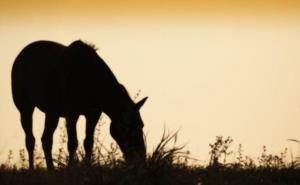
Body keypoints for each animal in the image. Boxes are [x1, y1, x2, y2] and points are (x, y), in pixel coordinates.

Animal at [11, 40, 148, 169]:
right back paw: (32, 169)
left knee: (46, 139)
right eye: (127, 128)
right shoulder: (72, 112)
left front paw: (87, 166)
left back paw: (51, 169)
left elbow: (88, 142)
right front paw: (71, 167)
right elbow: (72, 143)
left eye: (142, 125)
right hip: (25, 107)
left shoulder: (93, 113)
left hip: (52, 112)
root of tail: (19, 57)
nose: (141, 158)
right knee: (30, 140)